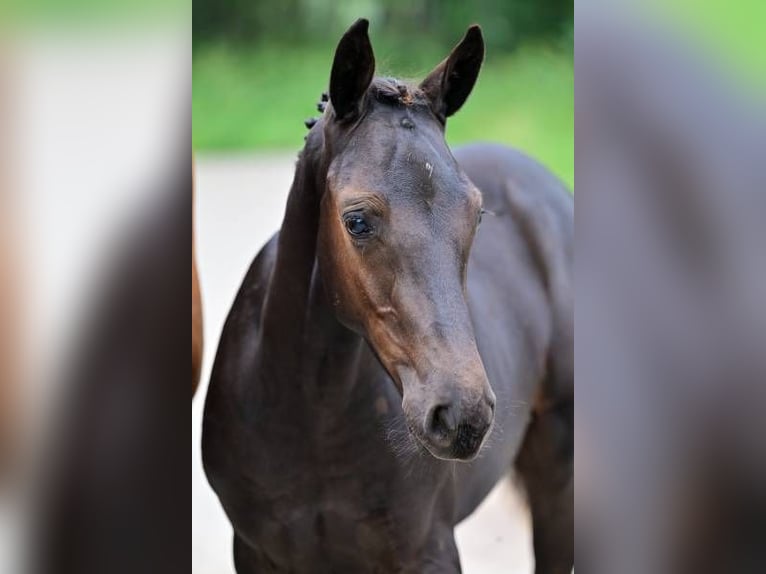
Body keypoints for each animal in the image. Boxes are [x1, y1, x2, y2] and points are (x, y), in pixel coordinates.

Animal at [201, 20, 572, 572]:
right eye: (356, 221)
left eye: (476, 215)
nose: (462, 416)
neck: (310, 416)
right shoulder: (255, 552)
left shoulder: (428, 550)